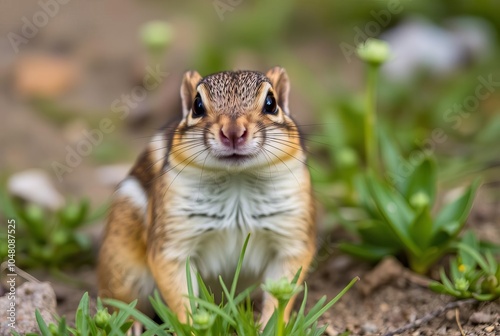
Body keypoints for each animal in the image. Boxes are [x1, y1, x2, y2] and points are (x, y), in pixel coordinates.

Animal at [97, 67, 316, 330]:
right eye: (197, 106)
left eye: (271, 103)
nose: (233, 132)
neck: (236, 182)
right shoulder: (173, 246)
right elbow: (182, 297)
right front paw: (191, 328)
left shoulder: (291, 240)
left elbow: (281, 293)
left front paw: (269, 327)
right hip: (123, 264)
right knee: (121, 301)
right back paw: (132, 326)